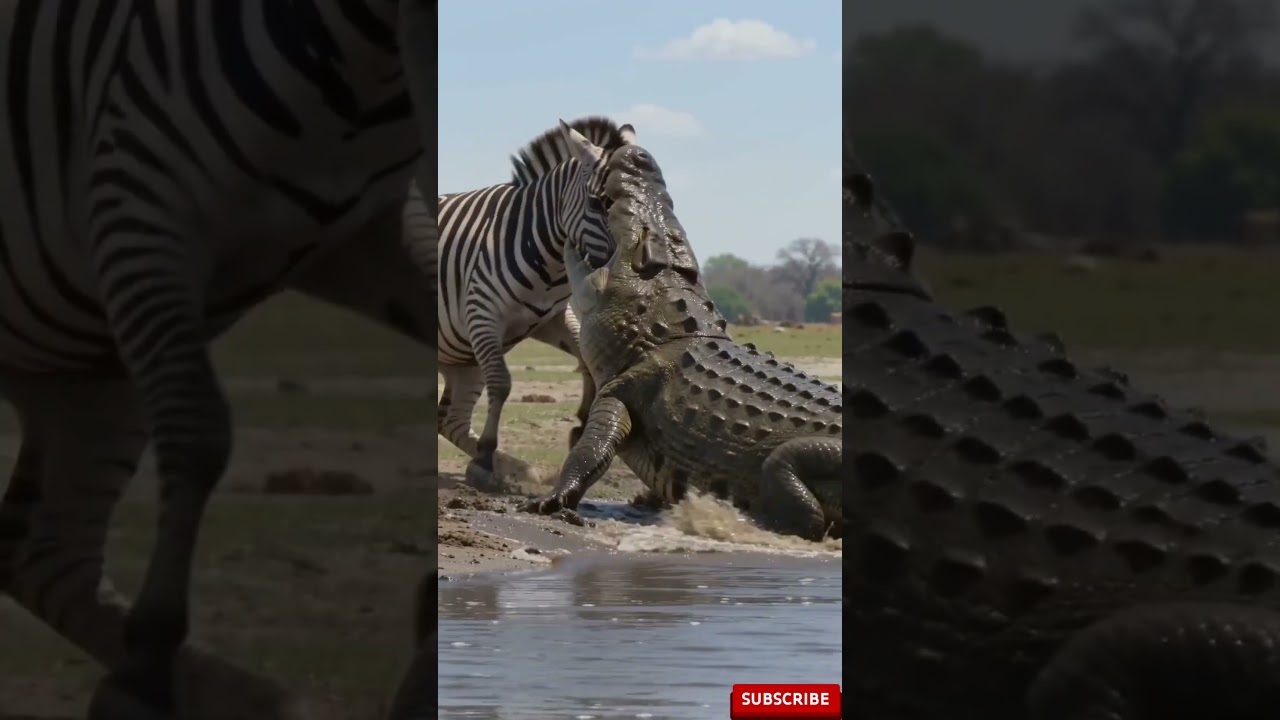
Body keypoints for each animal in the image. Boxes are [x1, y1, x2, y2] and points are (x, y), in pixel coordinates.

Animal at [0, 2, 437, 718]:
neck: (361, 88)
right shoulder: (139, 207)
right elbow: (200, 432)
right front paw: (147, 661)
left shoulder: (372, 231)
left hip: (88, 364)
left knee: (44, 549)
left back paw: (250, 696)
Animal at [436, 116, 636, 487]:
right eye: (597, 203)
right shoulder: (481, 314)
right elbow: (501, 384)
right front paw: (484, 457)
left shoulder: (549, 318)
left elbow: (586, 361)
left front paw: (580, 427)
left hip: (461, 357)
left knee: (450, 419)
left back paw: (517, 468)